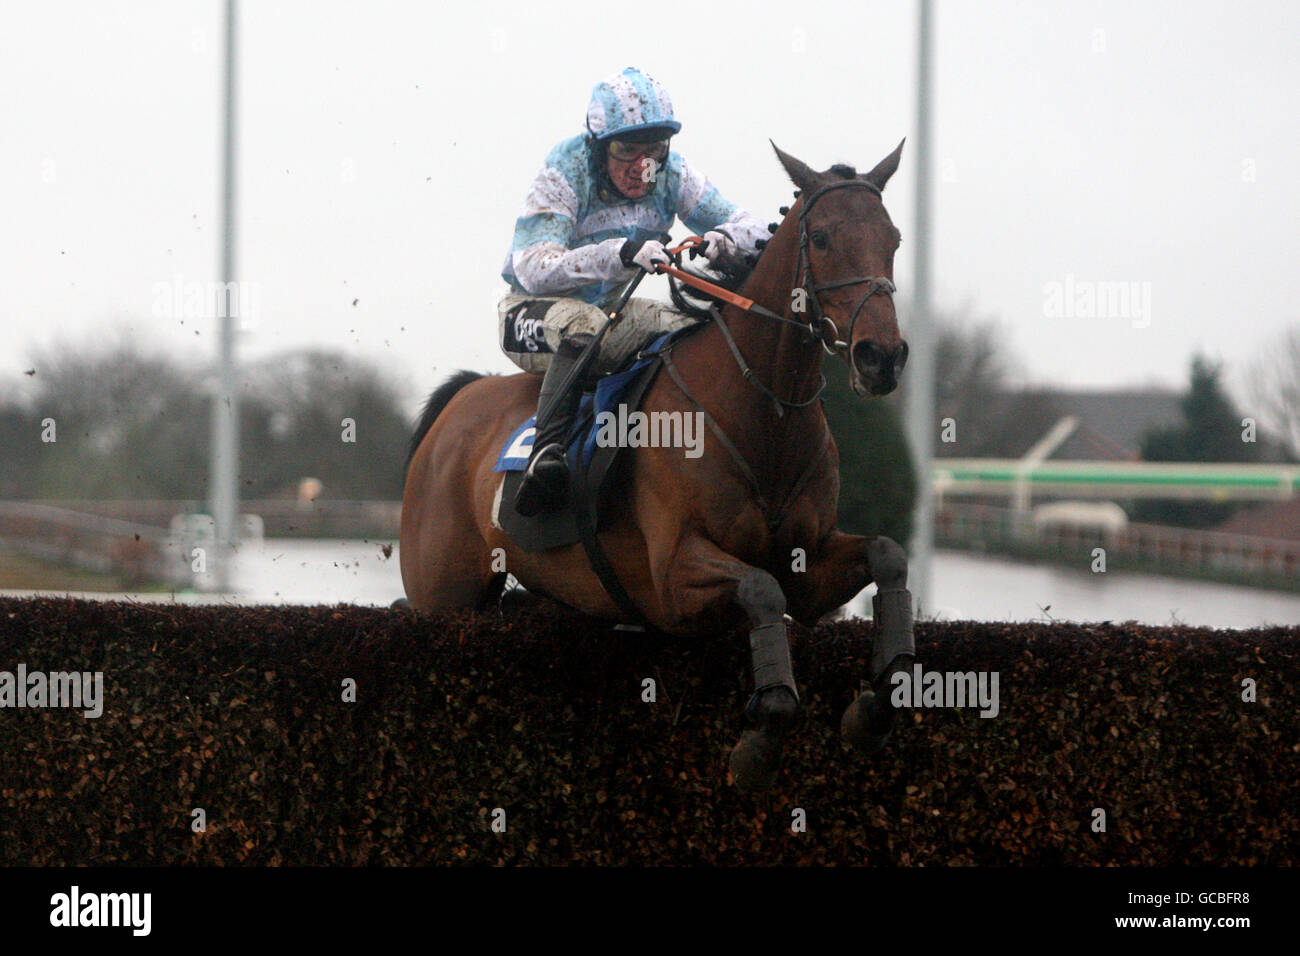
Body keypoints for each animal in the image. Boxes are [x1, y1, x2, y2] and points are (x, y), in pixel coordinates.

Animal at [400, 138, 920, 790]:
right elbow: (761, 588)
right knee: (579, 328)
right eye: (821, 238)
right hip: (442, 596)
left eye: (893, 238)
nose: (881, 358)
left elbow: (886, 557)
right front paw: (761, 737)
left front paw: (875, 706)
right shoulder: (671, 579)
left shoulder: (810, 567)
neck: (761, 415)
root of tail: (461, 400)